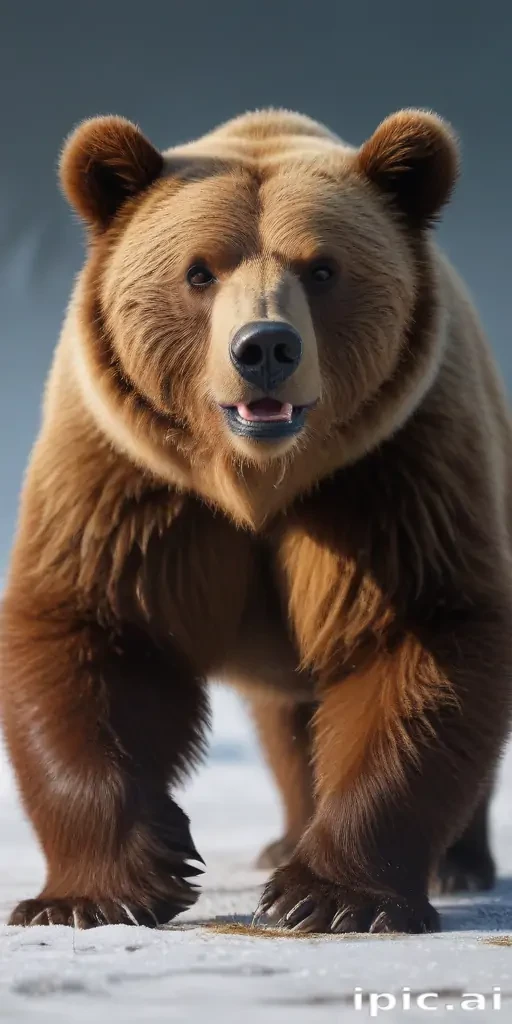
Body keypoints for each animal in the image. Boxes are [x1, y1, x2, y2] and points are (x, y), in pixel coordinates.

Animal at [1, 106, 511, 933]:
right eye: (199, 271)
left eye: (323, 268)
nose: (265, 347)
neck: (258, 481)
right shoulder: (129, 485)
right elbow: (92, 635)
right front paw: (98, 892)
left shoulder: (391, 476)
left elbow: (418, 637)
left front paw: (334, 897)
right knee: (285, 720)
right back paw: (284, 837)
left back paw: (458, 863)